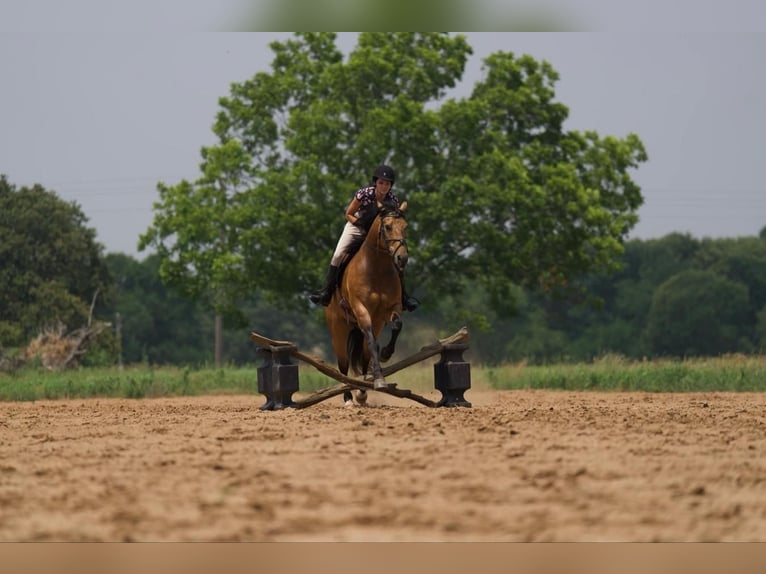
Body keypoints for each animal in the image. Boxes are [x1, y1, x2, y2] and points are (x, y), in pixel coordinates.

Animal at [326, 200, 412, 408]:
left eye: (405, 227)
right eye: (387, 227)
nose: (402, 258)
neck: (377, 267)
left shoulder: (390, 309)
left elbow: (397, 325)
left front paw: (386, 354)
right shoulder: (361, 309)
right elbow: (372, 342)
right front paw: (379, 380)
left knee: (364, 358)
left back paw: (362, 393)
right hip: (338, 330)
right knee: (343, 365)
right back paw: (348, 398)